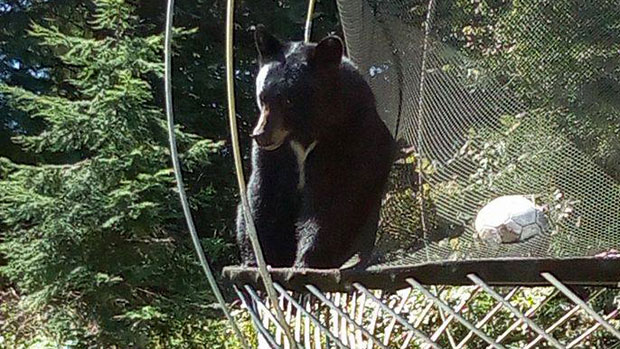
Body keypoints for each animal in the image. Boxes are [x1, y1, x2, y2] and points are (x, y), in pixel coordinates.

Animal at [235, 25, 394, 268]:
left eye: (288, 100)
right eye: (263, 97)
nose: (260, 135)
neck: (305, 132)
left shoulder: (348, 139)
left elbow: (331, 202)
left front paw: (306, 259)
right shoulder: (276, 155)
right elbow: (262, 194)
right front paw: (256, 258)